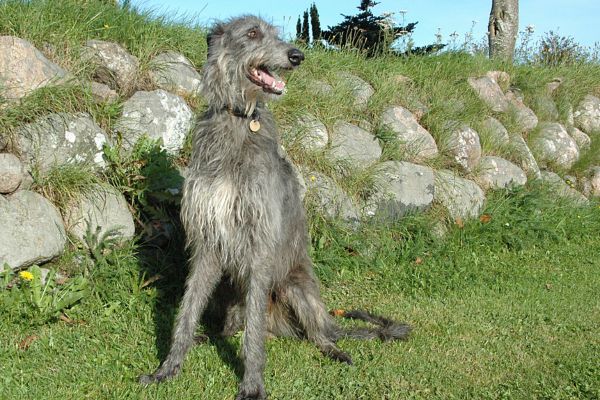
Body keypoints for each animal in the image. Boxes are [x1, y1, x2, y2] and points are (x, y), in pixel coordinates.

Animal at [139, 14, 412, 398]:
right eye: (252, 33)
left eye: (277, 35)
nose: (297, 55)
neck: (239, 119)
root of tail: (282, 327)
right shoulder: (208, 239)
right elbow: (187, 310)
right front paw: (167, 368)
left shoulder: (260, 242)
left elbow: (252, 335)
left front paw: (252, 384)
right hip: (228, 291)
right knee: (232, 327)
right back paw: (209, 337)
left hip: (296, 289)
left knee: (316, 333)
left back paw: (334, 349)